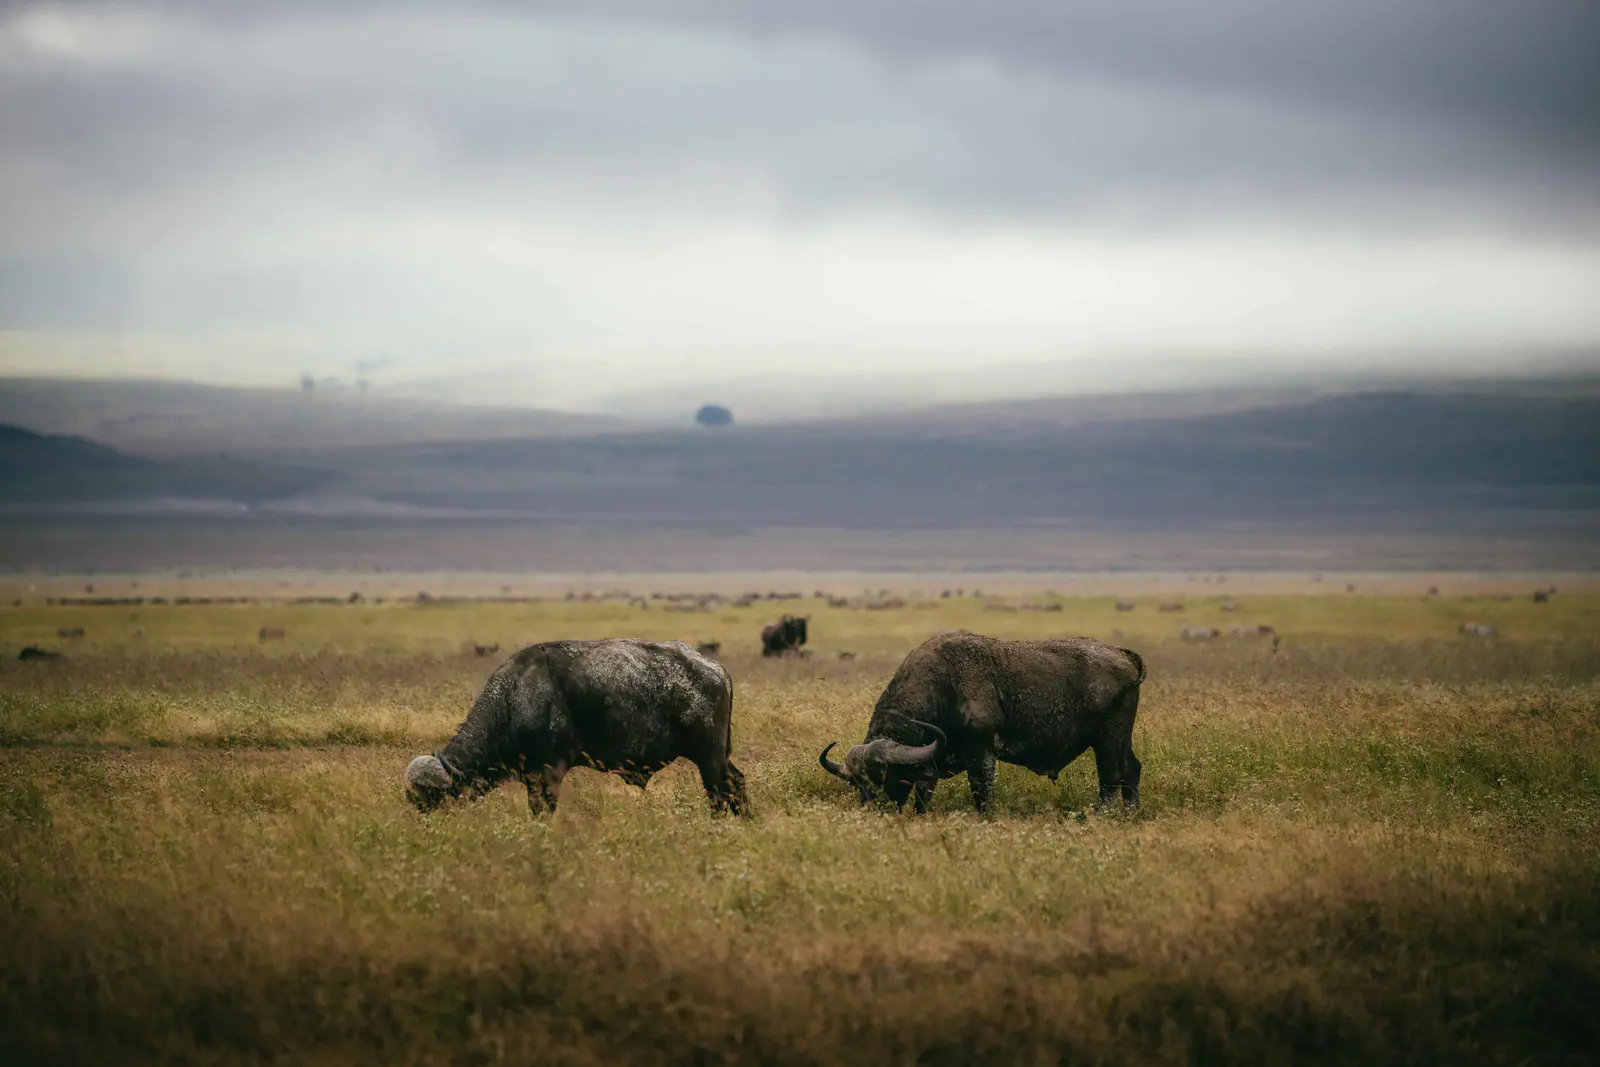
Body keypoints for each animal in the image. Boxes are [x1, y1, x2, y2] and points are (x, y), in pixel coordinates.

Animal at [404, 639, 747, 817]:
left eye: (428, 798)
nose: (423, 822)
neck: (515, 698)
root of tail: (715, 669)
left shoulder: (548, 773)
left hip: (709, 757)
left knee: (719, 793)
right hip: (719, 758)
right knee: (737, 783)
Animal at [819, 631, 1145, 814]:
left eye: (883, 774)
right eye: (856, 783)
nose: (874, 811)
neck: (942, 688)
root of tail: (1122, 655)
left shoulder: (983, 756)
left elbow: (982, 796)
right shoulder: (929, 768)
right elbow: (923, 798)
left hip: (1108, 739)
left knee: (1111, 777)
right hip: (1120, 739)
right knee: (1131, 769)